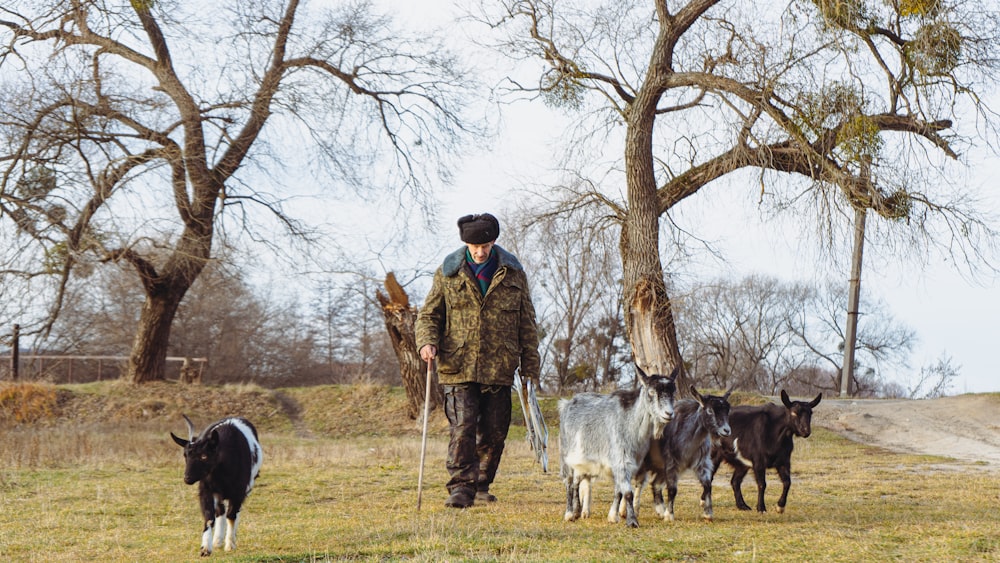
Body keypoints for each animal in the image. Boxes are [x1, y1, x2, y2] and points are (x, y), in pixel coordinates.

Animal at [173, 416, 264, 556]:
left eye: (204, 456)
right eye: (185, 455)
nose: (187, 478)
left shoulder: (239, 491)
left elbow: (232, 515)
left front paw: (230, 545)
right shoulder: (206, 490)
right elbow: (209, 517)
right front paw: (206, 548)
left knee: (234, 512)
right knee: (220, 511)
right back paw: (217, 540)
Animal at [560, 366, 676, 528]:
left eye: (673, 392)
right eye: (651, 392)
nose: (669, 413)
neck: (631, 422)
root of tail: (567, 403)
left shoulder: (629, 463)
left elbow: (619, 491)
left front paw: (612, 517)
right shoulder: (621, 459)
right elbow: (627, 492)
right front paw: (632, 521)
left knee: (578, 481)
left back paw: (578, 512)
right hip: (565, 455)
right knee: (569, 482)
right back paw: (569, 514)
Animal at [632, 386, 736, 524]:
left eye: (727, 410)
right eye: (709, 410)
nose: (726, 430)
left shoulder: (702, 463)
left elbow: (708, 484)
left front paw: (707, 513)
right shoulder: (672, 463)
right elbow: (673, 489)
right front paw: (670, 515)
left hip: (660, 467)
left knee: (654, 483)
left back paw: (660, 510)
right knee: (638, 483)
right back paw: (629, 511)